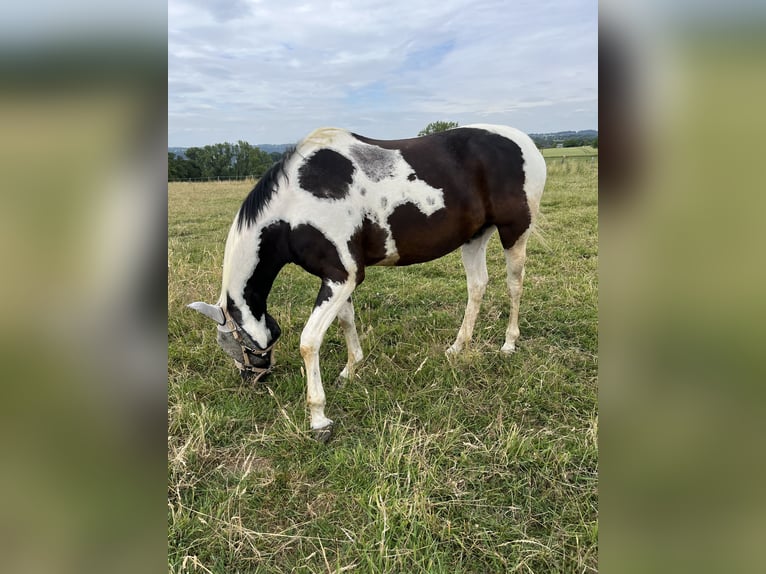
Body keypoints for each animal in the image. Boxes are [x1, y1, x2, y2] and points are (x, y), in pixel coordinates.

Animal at [189, 124, 546, 441]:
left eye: (234, 344)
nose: (252, 380)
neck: (296, 204)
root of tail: (526, 143)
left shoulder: (342, 276)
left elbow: (309, 342)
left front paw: (318, 418)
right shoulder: (337, 278)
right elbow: (347, 321)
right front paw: (350, 371)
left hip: (514, 233)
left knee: (514, 284)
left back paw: (509, 344)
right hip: (474, 237)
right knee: (477, 286)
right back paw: (458, 347)